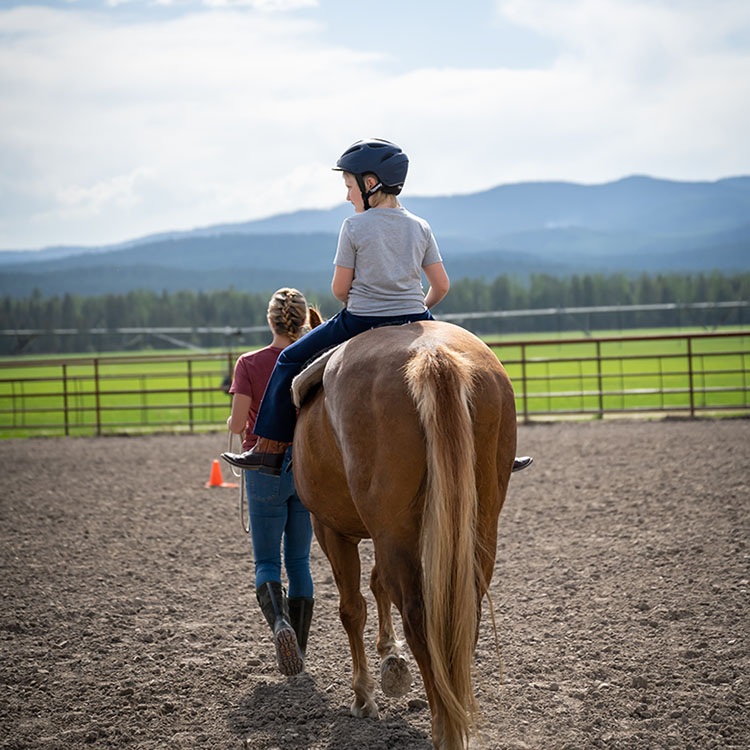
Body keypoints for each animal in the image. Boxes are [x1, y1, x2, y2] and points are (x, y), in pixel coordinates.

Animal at [292, 320, 516, 748]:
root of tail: (431, 353)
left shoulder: (329, 529)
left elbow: (352, 608)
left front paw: (364, 696)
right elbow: (377, 583)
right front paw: (390, 658)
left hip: (390, 530)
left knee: (417, 612)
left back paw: (443, 726)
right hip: (479, 524)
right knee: (464, 607)